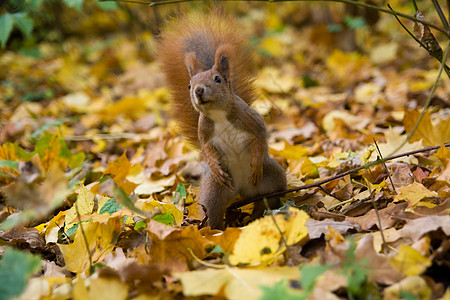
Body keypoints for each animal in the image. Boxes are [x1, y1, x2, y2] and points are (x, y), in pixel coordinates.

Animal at [158, 10, 284, 229]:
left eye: (217, 79)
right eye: (189, 85)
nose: (199, 91)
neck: (218, 113)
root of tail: (243, 190)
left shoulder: (250, 118)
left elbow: (260, 136)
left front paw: (256, 164)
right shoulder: (203, 130)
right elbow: (207, 148)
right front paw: (215, 166)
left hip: (274, 176)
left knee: (271, 195)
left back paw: (258, 213)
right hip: (214, 191)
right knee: (213, 211)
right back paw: (217, 230)